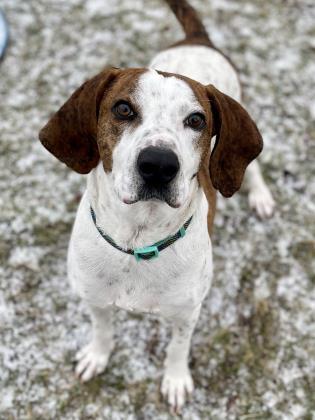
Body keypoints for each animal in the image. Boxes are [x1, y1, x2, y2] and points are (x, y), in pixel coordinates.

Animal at [39, 0, 276, 414]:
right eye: (122, 109)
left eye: (196, 120)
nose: (159, 165)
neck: (138, 240)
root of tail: (197, 39)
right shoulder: (95, 298)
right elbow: (103, 330)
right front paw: (97, 356)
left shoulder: (186, 313)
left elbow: (177, 349)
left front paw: (176, 380)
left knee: (253, 167)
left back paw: (260, 195)